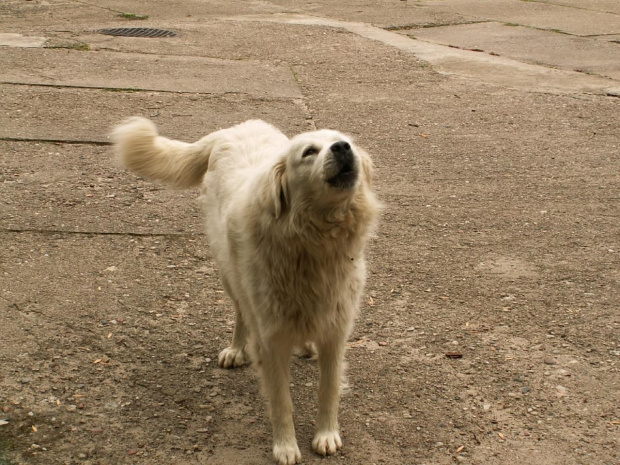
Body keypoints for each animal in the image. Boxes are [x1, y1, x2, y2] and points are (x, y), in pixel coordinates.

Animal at [114, 118, 380, 464]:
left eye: (344, 141)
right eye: (309, 152)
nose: (343, 148)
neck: (314, 242)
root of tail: (233, 128)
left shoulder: (335, 331)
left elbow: (329, 390)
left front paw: (326, 435)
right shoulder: (270, 339)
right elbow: (281, 402)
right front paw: (286, 446)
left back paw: (305, 345)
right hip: (230, 274)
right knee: (241, 311)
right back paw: (237, 349)